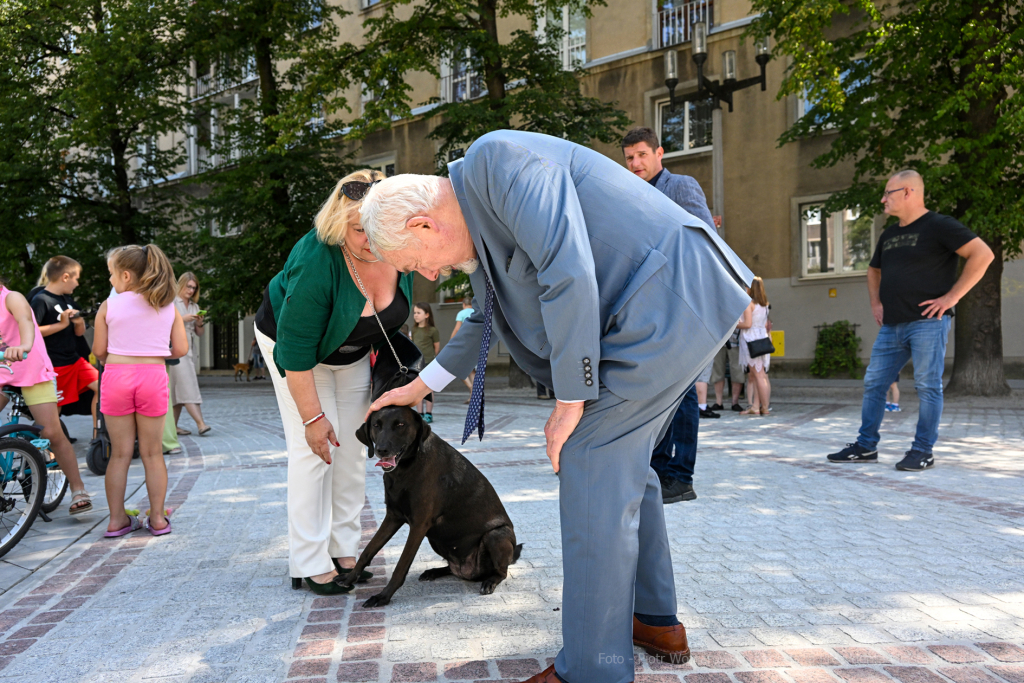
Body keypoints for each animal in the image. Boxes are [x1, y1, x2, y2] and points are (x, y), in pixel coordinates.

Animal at [339, 405, 524, 610]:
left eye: (400, 425)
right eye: (376, 425)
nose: (381, 450)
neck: (405, 468)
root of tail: (470, 572)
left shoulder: (419, 525)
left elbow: (401, 565)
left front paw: (383, 596)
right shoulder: (393, 517)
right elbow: (368, 550)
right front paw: (349, 578)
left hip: (496, 535)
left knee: (501, 572)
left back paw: (490, 581)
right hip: (436, 539)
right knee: (452, 567)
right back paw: (434, 571)